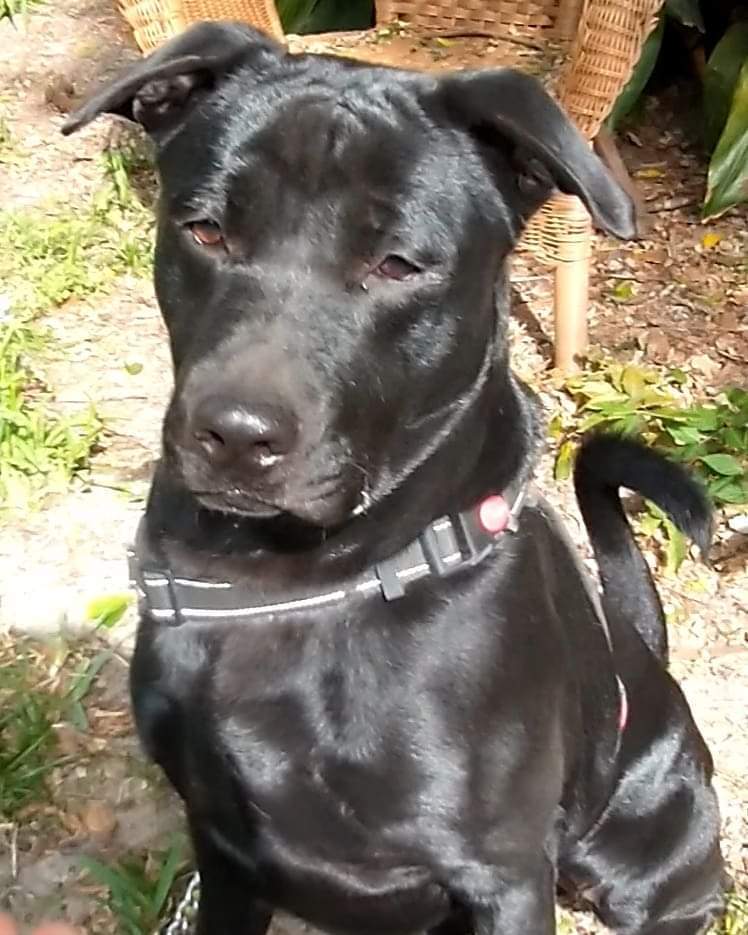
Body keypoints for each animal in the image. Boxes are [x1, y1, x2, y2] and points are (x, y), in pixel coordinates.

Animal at [65, 23, 724, 935]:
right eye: (203, 230)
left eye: (399, 264)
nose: (235, 434)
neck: (292, 584)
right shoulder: (223, 848)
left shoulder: (503, 873)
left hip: (655, 863)